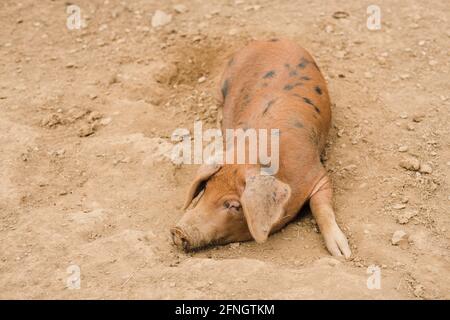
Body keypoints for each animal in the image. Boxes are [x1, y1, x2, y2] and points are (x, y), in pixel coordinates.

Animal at [171, 38, 354, 258]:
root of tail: (270, 40)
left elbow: (321, 206)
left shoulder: (318, 174)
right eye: (206, 188)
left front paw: (343, 253)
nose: (178, 231)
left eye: (234, 205)